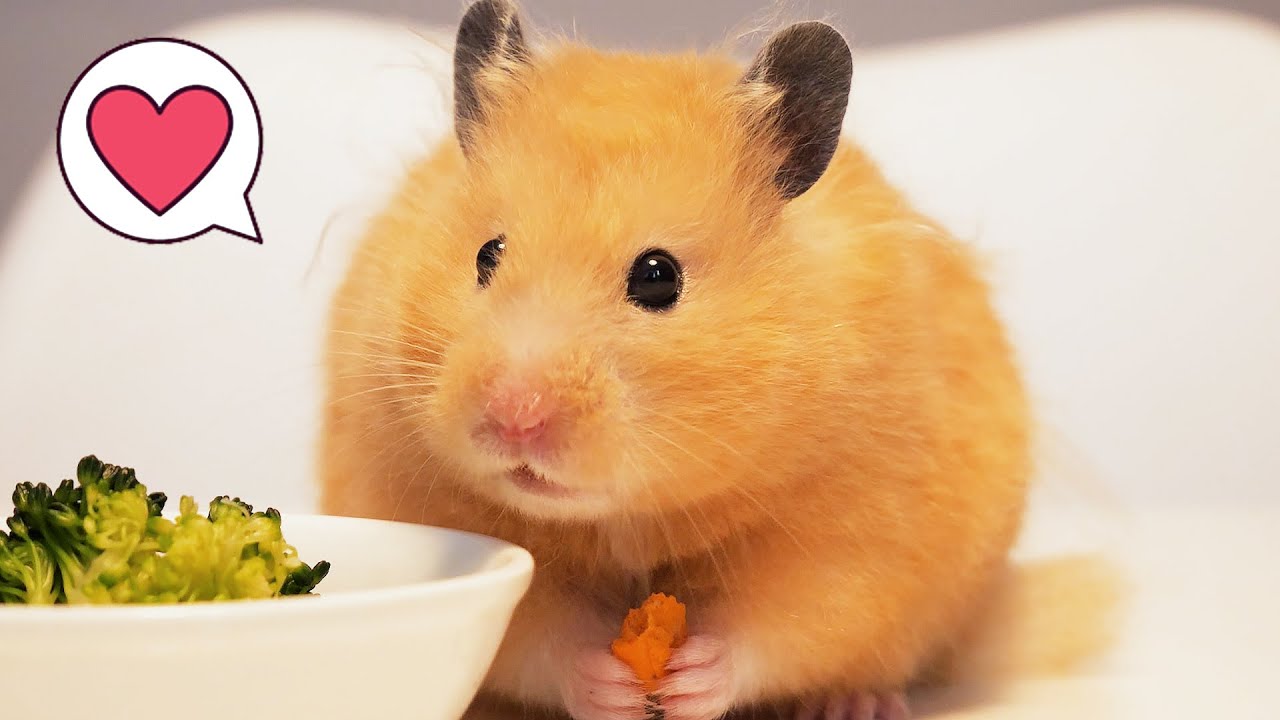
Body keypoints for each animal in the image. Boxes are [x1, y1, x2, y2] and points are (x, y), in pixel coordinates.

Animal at [319, 1, 1051, 718]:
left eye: (657, 277)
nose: (513, 421)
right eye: (486, 255)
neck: (624, 519)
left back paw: (855, 704)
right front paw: (611, 687)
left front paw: (688, 682)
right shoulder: (426, 499)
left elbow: (783, 622)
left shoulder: (857, 532)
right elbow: (539, 632)